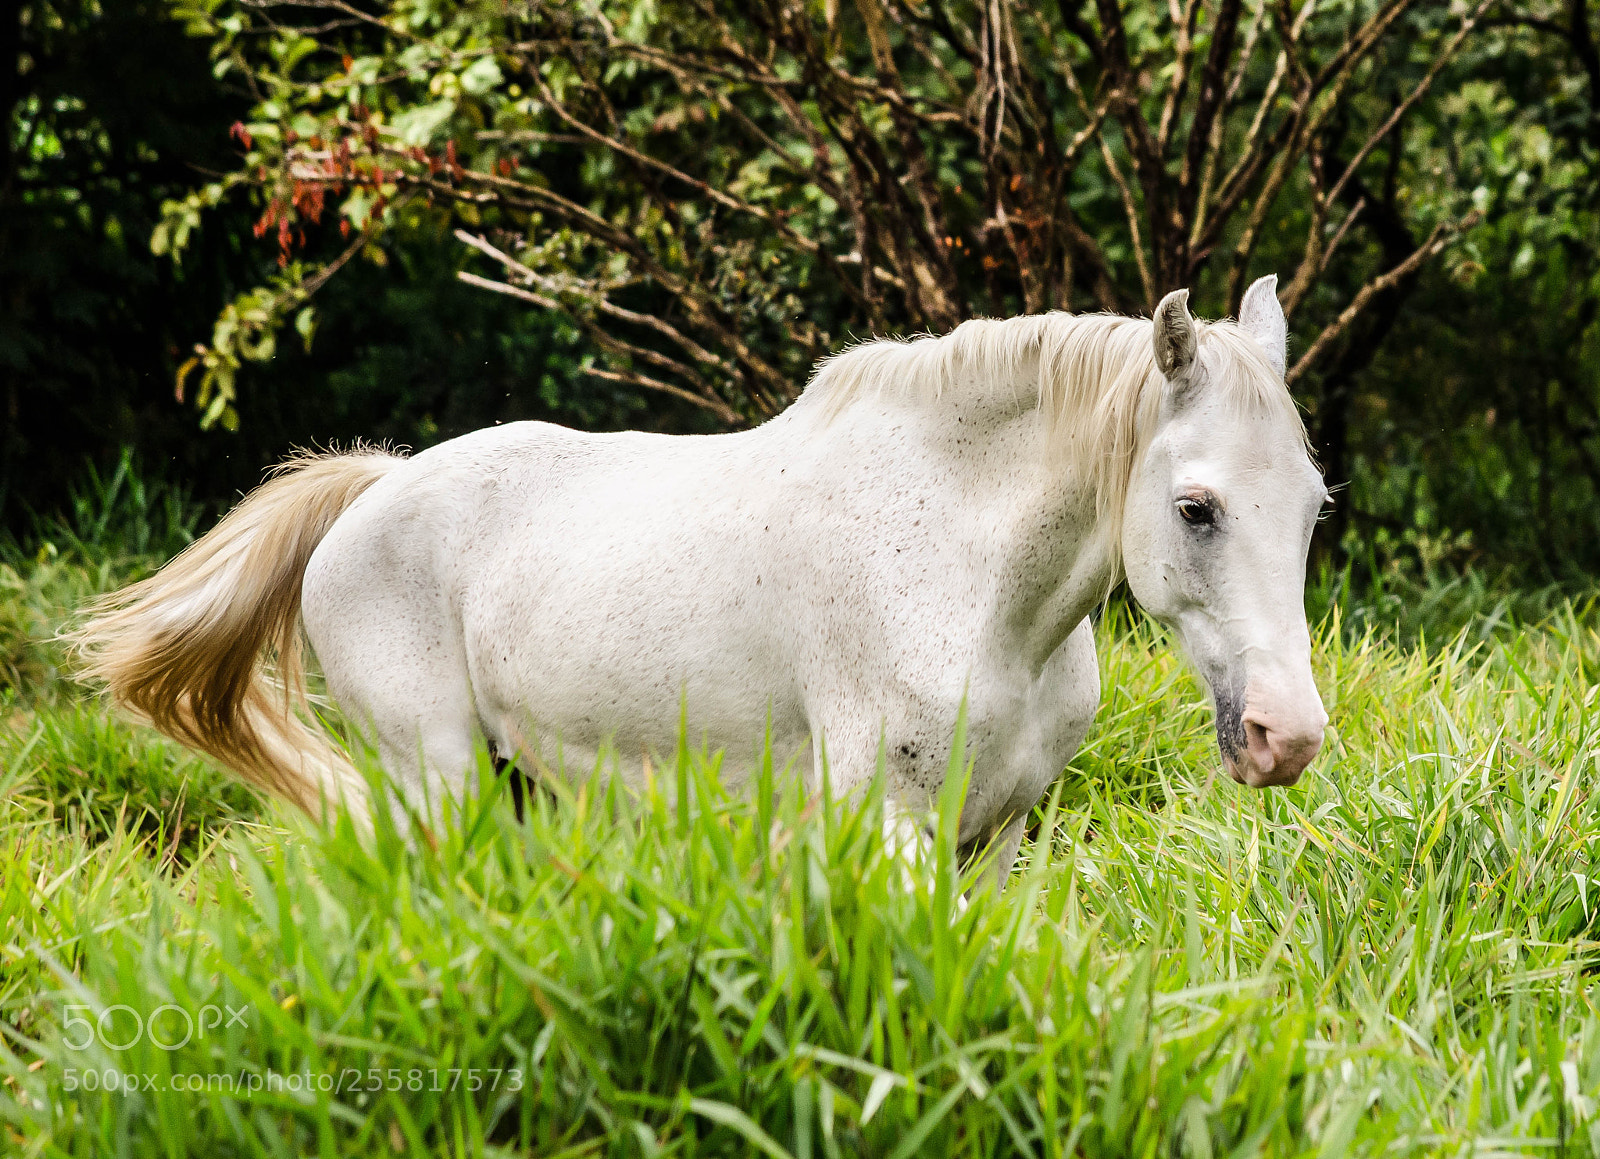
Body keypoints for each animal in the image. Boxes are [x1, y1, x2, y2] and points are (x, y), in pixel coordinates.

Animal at [77, 278, 1328, 883]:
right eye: (1195, 508)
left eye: (1315, 506)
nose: (1289, 737)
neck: (970, 583)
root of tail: (375, 490)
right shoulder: (888, 827)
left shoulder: (998, 837)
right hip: (437, 779)